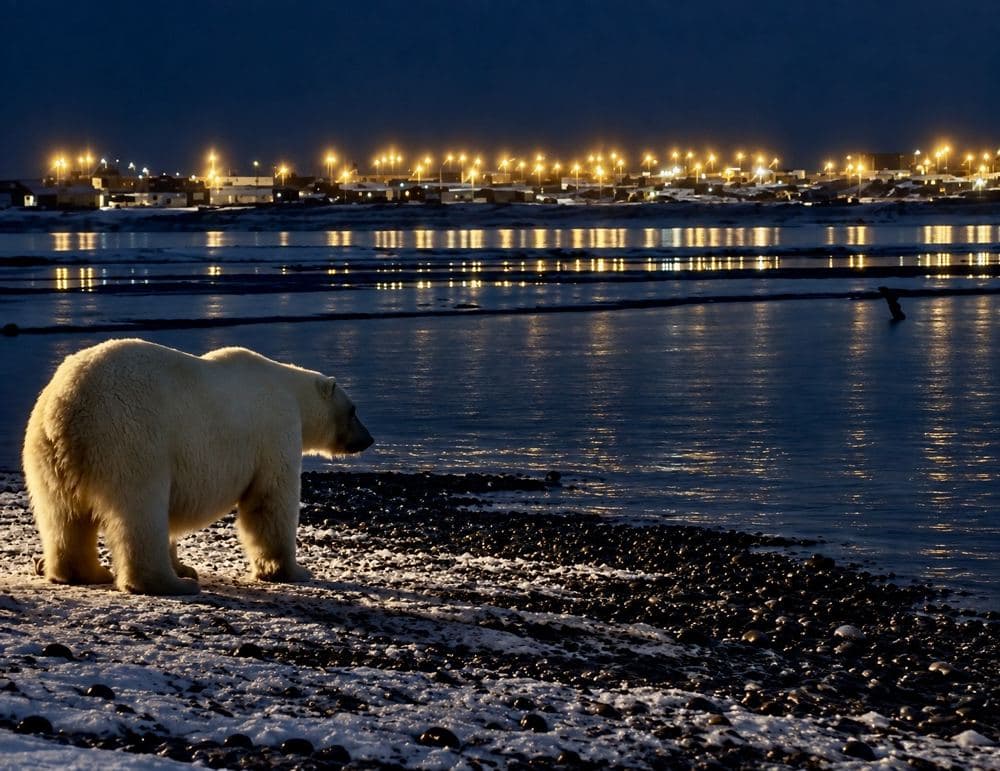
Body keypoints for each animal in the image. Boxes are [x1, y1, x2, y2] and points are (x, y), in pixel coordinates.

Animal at [22, 338, 373, 595]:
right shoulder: (276, 431)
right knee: (140, 511)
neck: (291, 391)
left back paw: (85, 573)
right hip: (131, 440)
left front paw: (184, 565)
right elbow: (270, 503)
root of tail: (65, 410)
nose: (368, 439)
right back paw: (168, 584)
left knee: (62, 514)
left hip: (45, 455)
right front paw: (293, 571)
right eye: (354, 410)